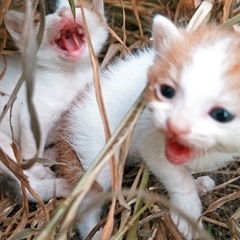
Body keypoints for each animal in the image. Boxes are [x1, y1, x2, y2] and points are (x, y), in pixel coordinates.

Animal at [0, 0, 108, 202]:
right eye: (46, 12)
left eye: (79, 5)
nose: (66, 12)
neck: (71, 74)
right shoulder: (33, 113)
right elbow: (30, 147)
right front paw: (38, 169)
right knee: (25, 185)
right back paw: (61, 185)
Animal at [56, 15, 240, 239]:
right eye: (167, 91)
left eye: (222, 114)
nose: (175, 126)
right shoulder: (150, 143)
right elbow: (178, 179)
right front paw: (187, 216)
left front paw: (195, 185)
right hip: (96, 154)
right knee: (87, 202)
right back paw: (97, 232)